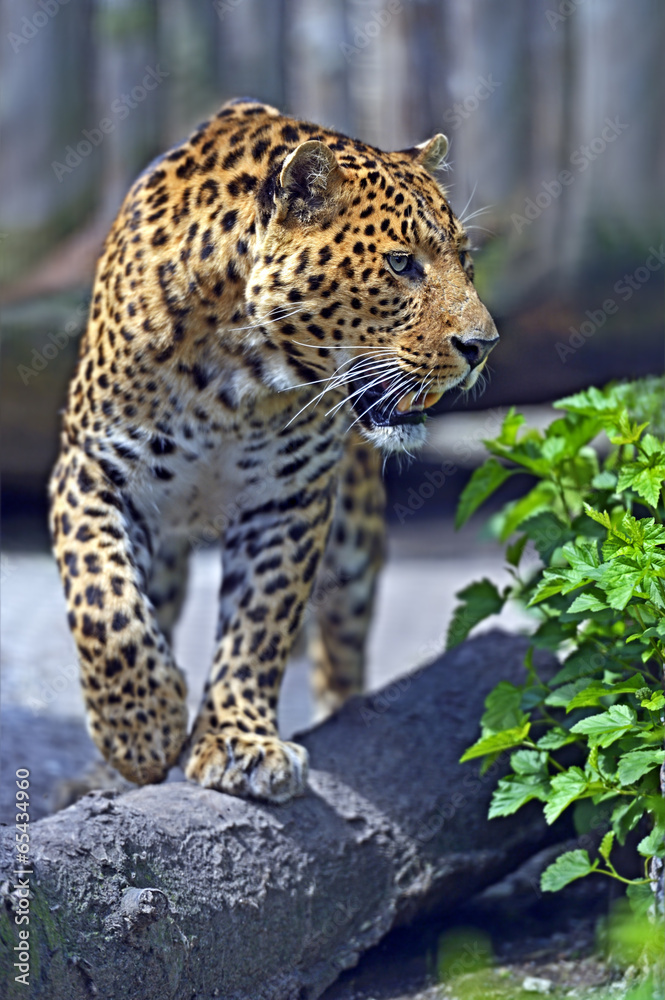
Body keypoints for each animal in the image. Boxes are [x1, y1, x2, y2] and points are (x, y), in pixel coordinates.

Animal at [49, 98, 499, 804]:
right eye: (402, 264)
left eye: (465, 257)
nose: (484, 346)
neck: (236, 378)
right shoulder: (93, 468)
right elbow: (106, 607)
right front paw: (143, 730)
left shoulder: (288, 499)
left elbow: (261, 621)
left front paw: (239, 743)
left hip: (355, 540)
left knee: (341, 644)